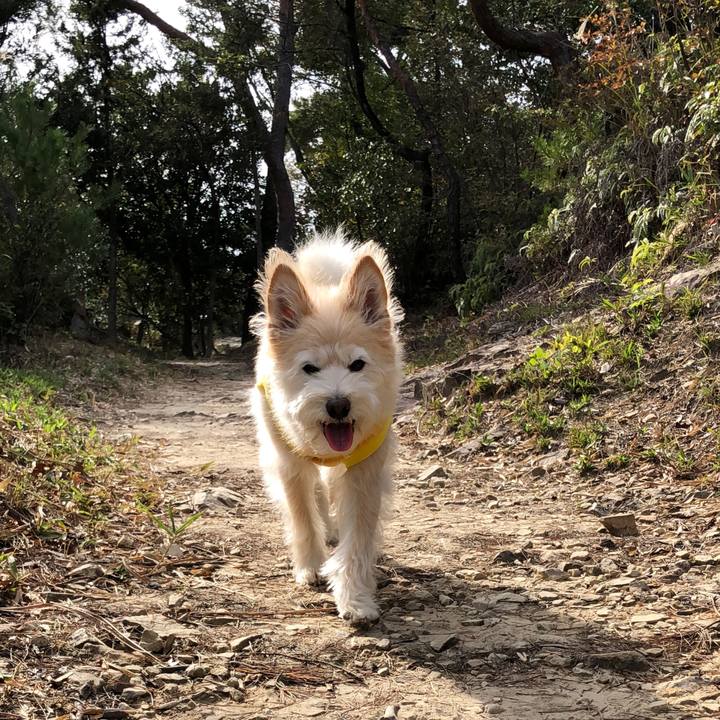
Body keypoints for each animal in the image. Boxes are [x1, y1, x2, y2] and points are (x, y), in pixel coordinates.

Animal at [251, 229, 403, 624]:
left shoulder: (364, 472)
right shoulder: (290, 465)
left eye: (357, 364)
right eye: (310, 368)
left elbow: (358, 538)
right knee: (317, 495)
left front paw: (355, 598)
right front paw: (311, 567)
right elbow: (303, 517)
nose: (338, 405)